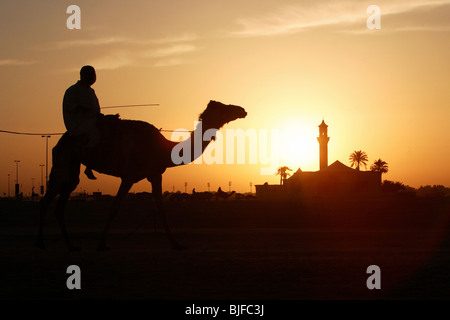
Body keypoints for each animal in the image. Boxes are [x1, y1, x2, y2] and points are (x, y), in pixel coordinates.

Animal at [37, 100, 248, 250]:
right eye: (224, 107)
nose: (242, 110)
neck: (162, 149)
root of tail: (60, 141)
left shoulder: (155, 175)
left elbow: (161, 209)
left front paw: (176, 244)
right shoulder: (129, 175)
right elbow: (114, 208)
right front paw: (102, 244)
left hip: (72, 168)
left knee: (62, 198)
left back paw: (71, 245)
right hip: (64, 160)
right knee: (47, 198)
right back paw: (43, 243)